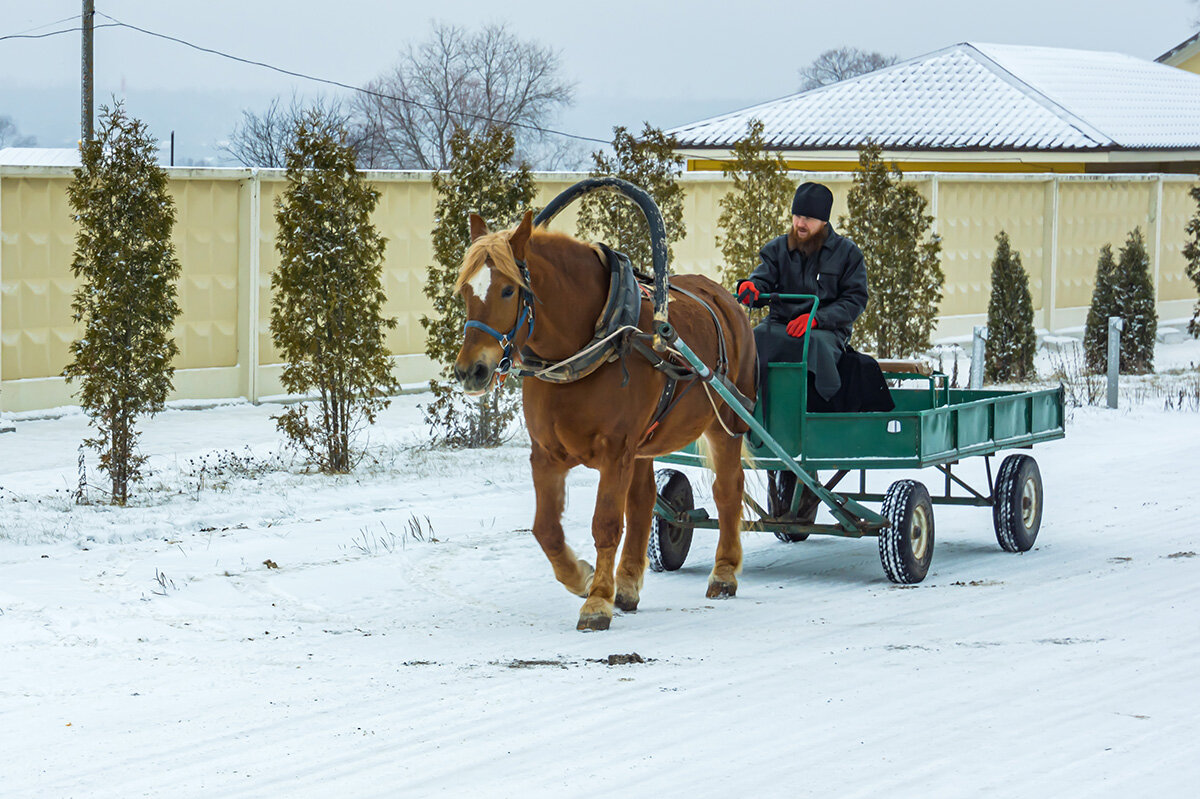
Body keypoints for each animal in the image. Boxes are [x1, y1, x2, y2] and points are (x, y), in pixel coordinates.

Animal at [453, 209, 753, 628]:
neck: (594, 342)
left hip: (726, 423)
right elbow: (546, 529)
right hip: (644, 445)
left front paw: (596, 602)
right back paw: (626, 586)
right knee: (644, 501)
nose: (471, 371)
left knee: (728, 491)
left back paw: (724, 572)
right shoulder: (546, 454)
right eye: (466, 290)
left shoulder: (615, 452)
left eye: (509, 291)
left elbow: (606, 524)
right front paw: (583, 577)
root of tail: (726, 300)